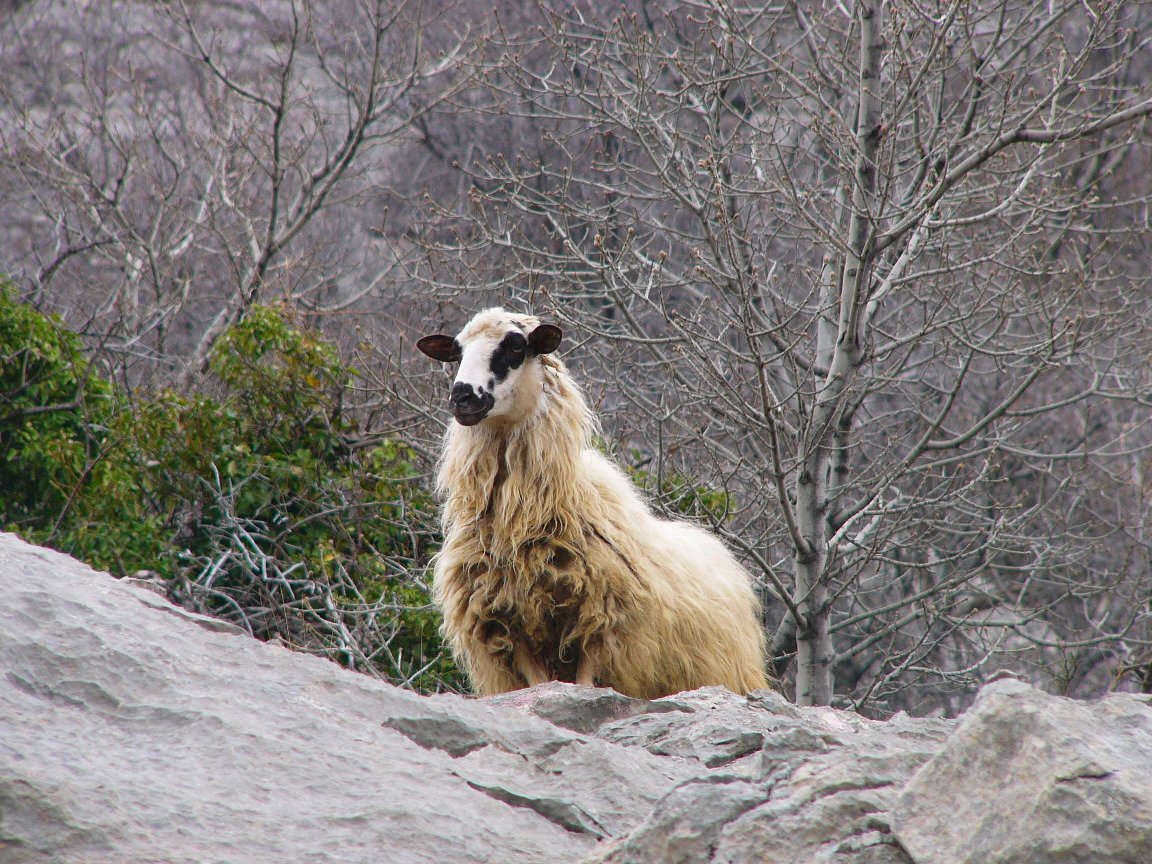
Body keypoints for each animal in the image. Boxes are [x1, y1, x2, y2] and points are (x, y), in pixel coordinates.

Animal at [419, 308, 769, 700]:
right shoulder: (506, 626)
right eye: (457, 352)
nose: (462, 397)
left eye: (515, 347)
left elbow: (587, 688)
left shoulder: (602, 625)